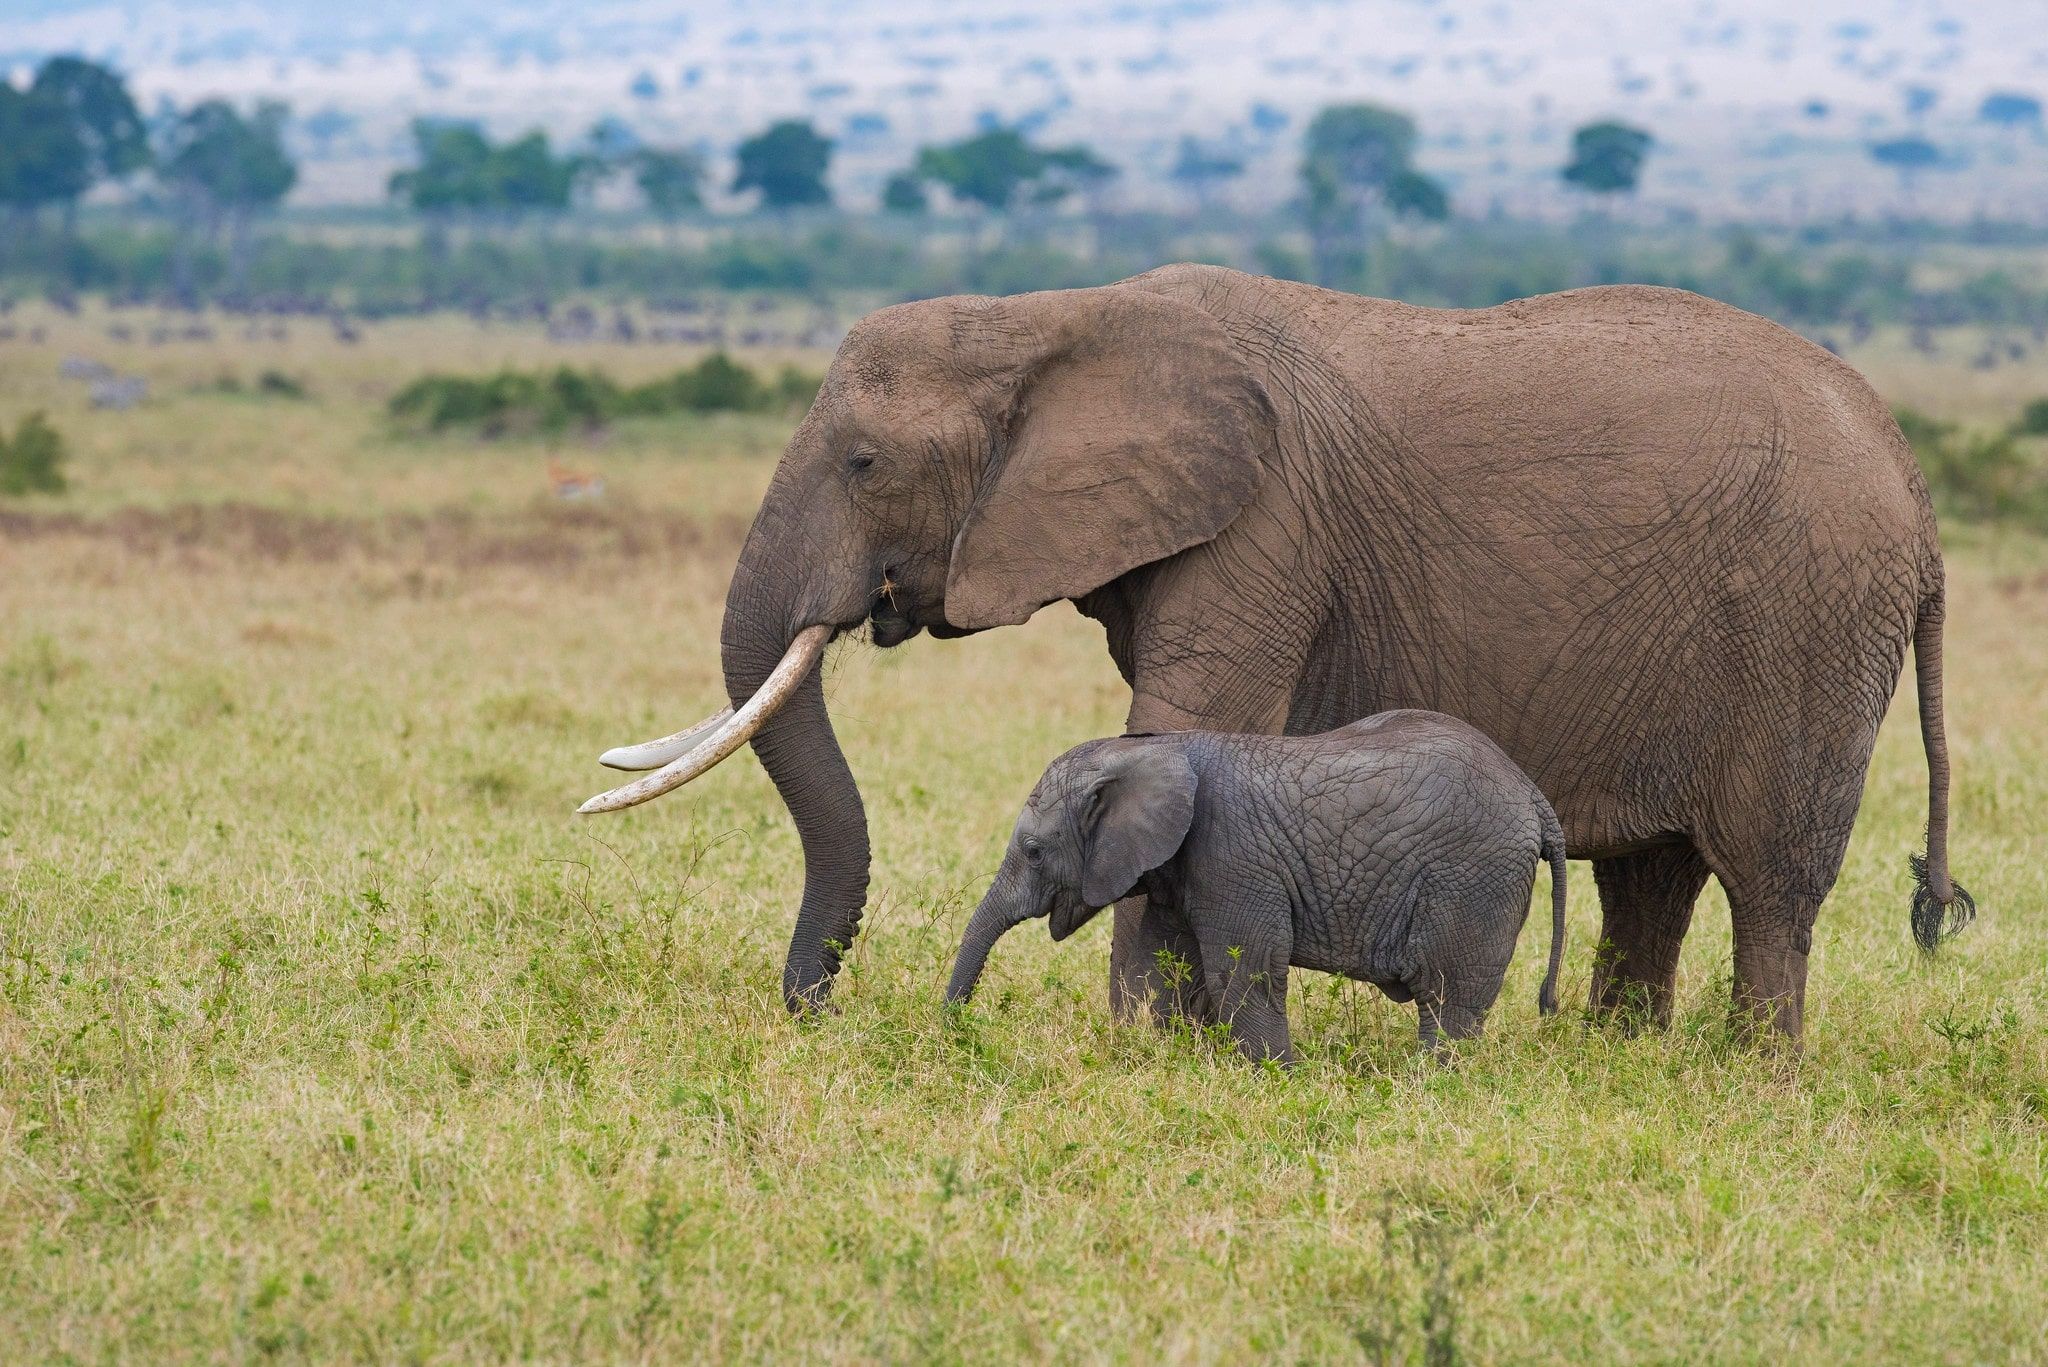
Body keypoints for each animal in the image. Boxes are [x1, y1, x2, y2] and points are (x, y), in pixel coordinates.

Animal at [942, 712, 1570, 1062]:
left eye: (1033, 852)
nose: (953, 1032)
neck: (1154, 748)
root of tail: (1533, 794)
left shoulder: (1232, 857)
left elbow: (1245, 970)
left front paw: (1278, 1078)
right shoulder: (1181, 865)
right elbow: (1161, 965)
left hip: (1473, 876)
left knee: (1448, 994)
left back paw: (1429, 1082)